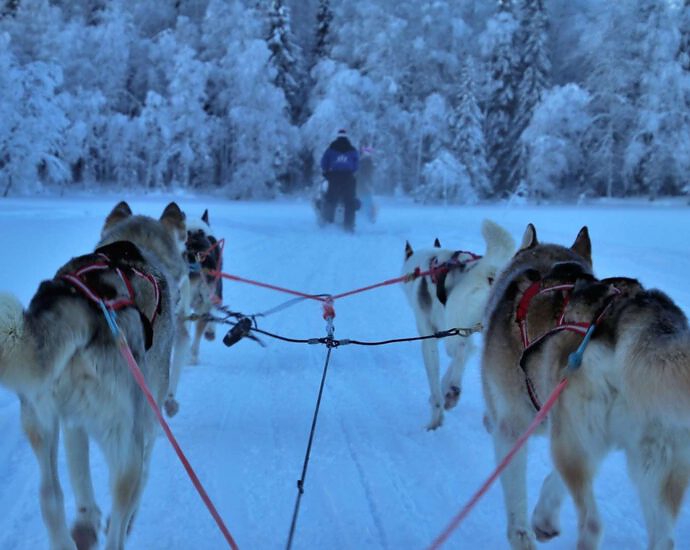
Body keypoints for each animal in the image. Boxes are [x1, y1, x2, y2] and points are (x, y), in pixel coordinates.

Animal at [0, 203, 185, 550]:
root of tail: (85, 304)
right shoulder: (148, 421)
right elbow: (143, 476)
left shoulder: (73, 424)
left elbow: (79, 476)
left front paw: (86, 520)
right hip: (125, 441)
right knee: (120, 511)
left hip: (39, 420)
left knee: (50, 497)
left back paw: (73, 533)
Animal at [400, 220, 512, 432]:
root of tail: (488, 271)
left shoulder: (430, 337)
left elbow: (437, 379)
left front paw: (436, 416)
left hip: (455, 327)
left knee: (460, 351)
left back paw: (453, 391)